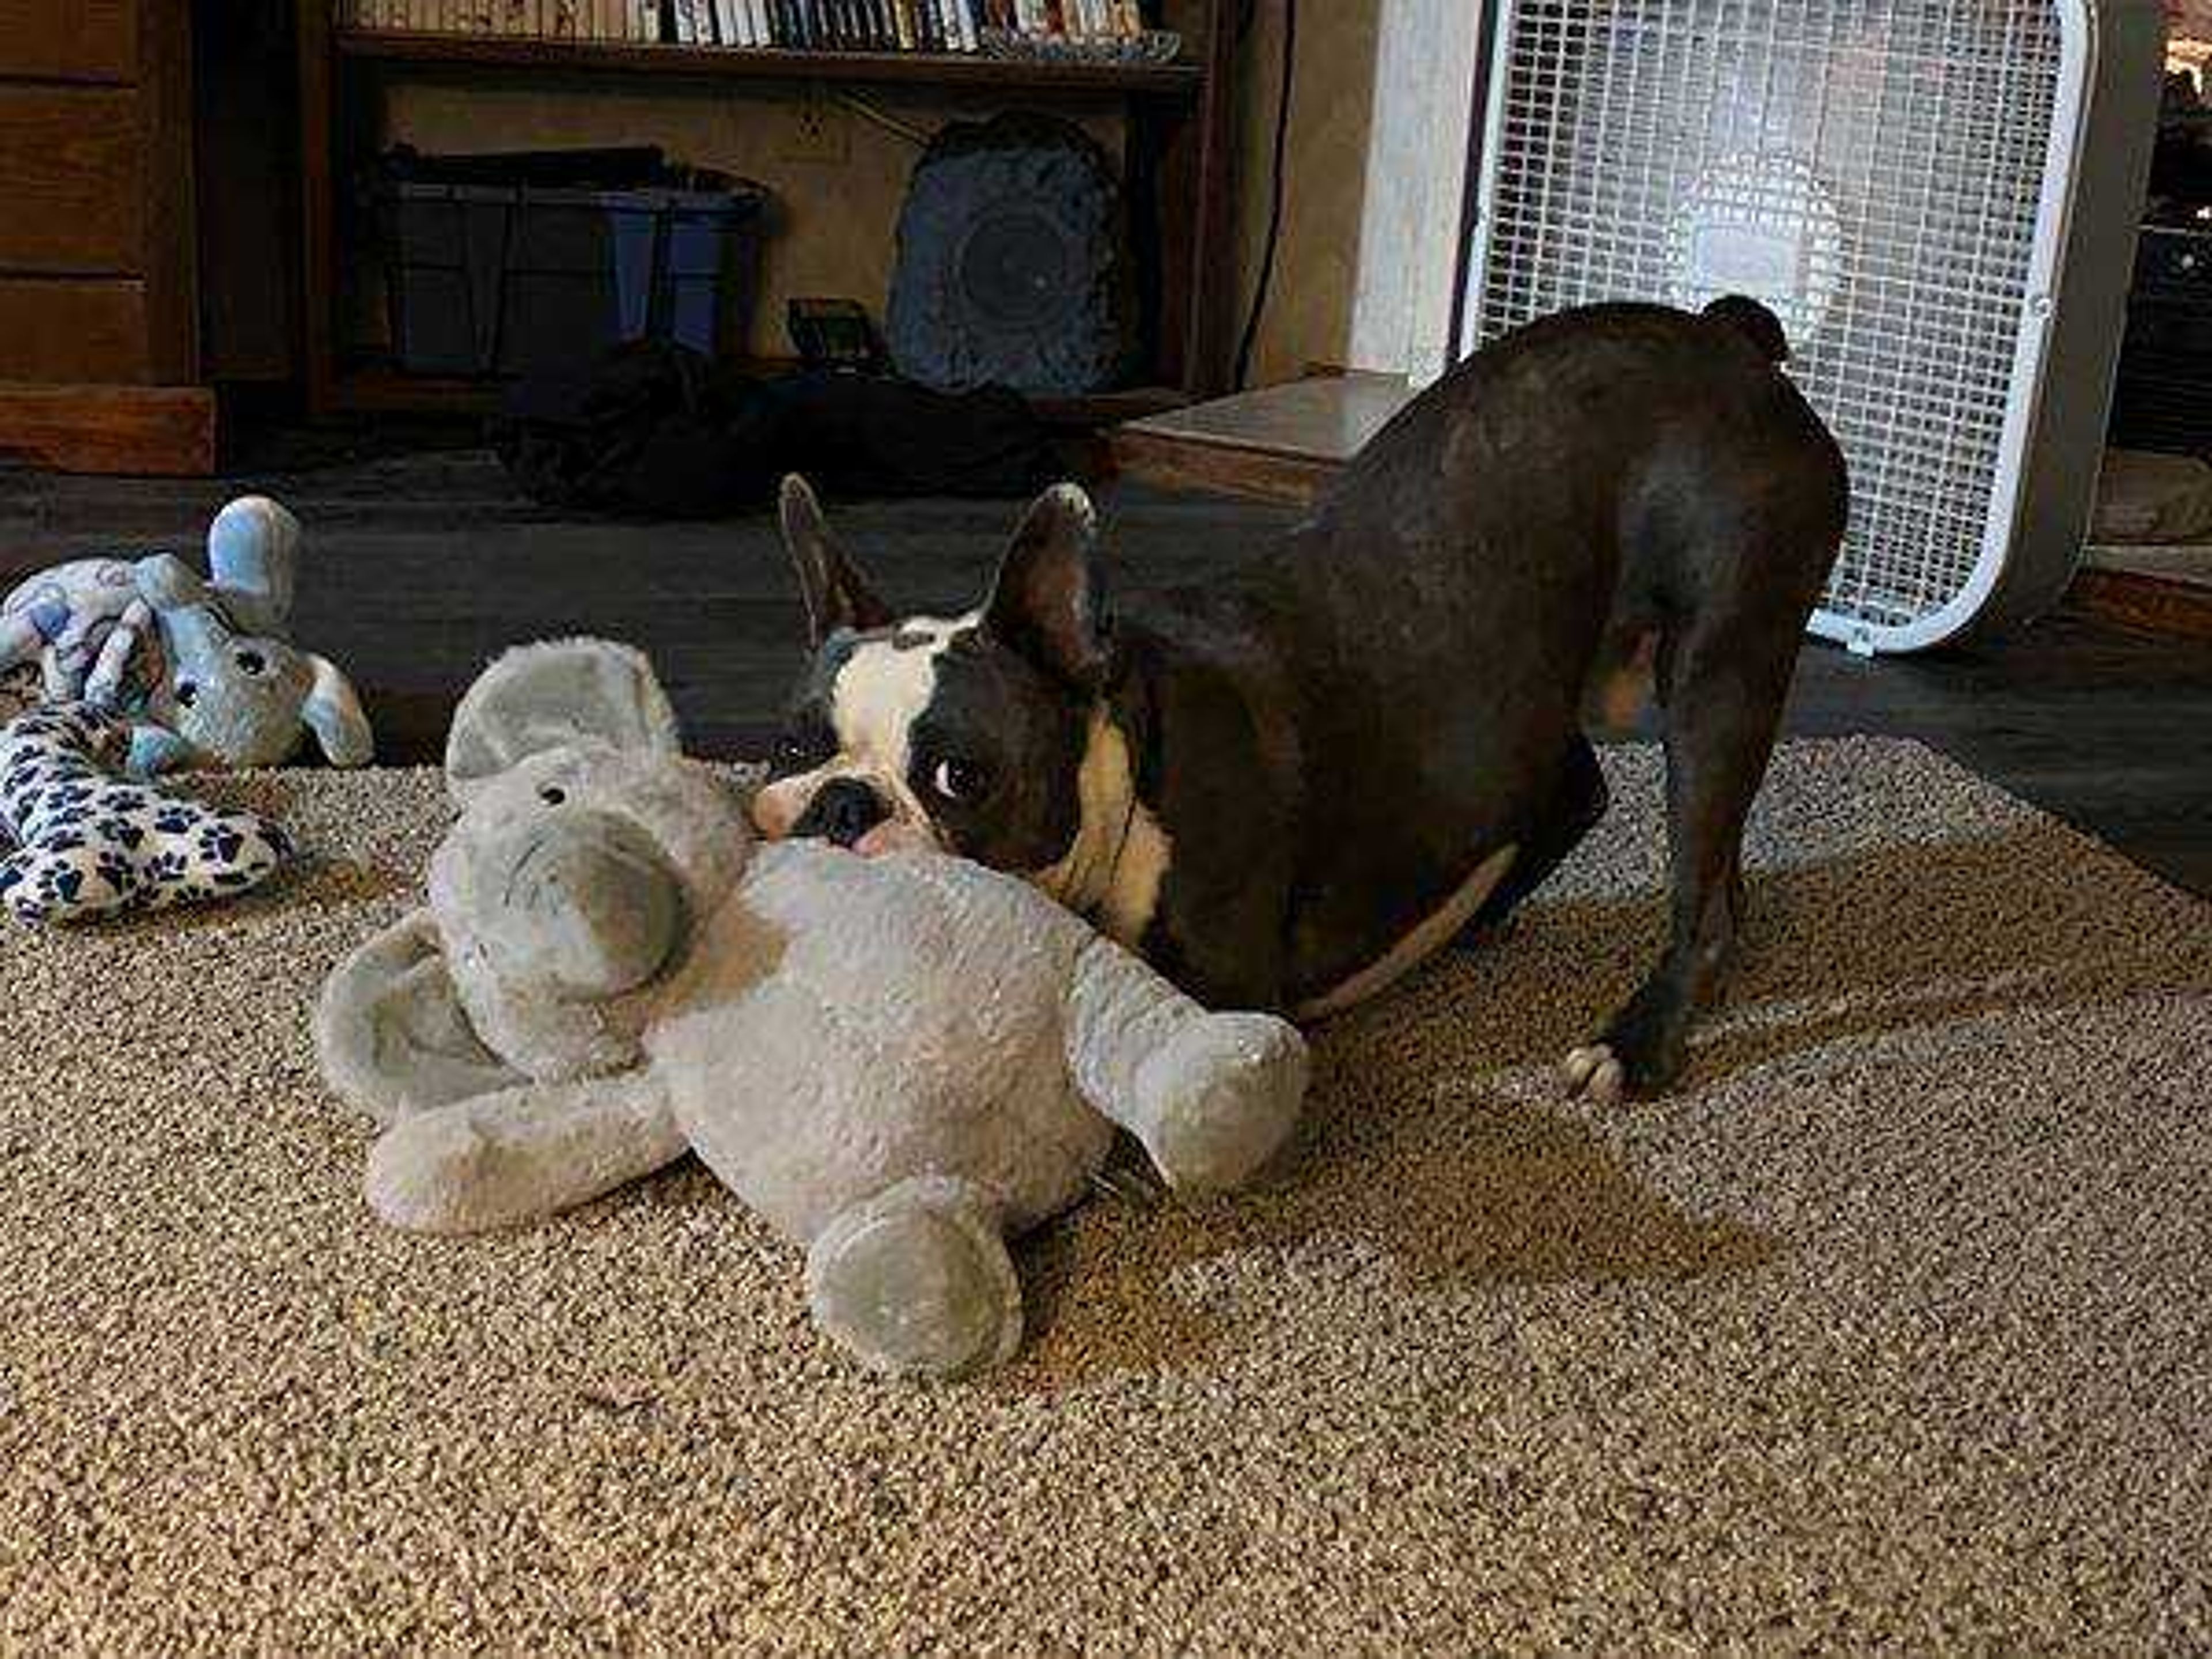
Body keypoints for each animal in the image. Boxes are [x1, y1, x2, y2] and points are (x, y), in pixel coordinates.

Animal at [756, 303, 1849, 1106]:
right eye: (790, 747)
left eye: (961, 776)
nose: (840, 803)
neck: (1126, 764)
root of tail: (1727, 338)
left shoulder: (1222, 1008)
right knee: (1584, 789)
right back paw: (1480, 909)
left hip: (1721, 668)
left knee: (1702, 888)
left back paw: (1637, 1038)